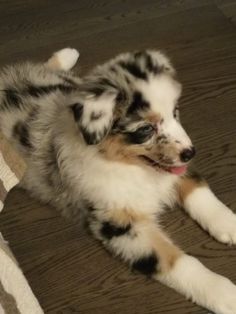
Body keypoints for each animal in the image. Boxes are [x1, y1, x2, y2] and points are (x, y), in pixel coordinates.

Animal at [0, 47, 236, 312]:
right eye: (145, 130)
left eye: (175, 112)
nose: (190, 153)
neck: (131, 167)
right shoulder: (119, 224)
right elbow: (175, 262)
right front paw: (224, 294)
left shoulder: (174, 169)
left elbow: (201, 193)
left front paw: (229, 224)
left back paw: (67, 55)